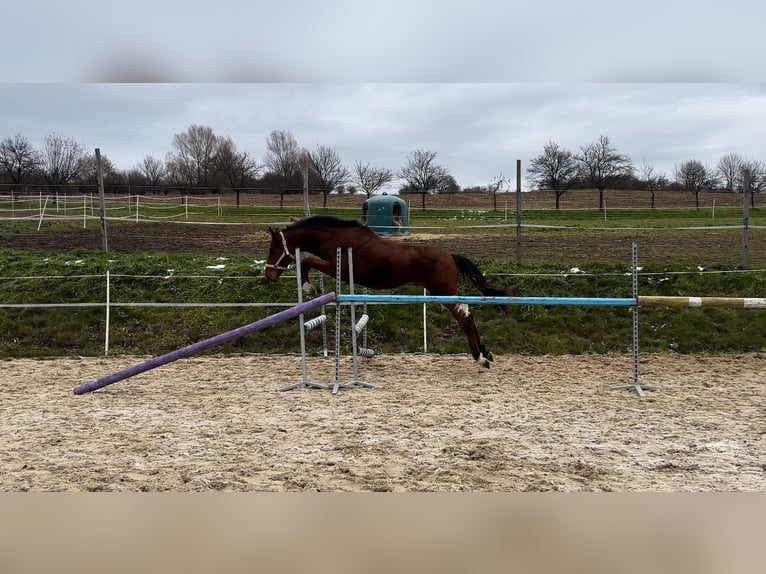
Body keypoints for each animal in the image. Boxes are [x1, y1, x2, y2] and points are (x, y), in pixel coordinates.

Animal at [268, 216, 512, 368]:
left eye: (273, 249)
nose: (268, 276)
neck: (336, 238)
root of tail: (450, 256)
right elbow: (307, 262)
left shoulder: (337, 268)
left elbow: (307, 262)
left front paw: (309, 287)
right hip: (447, 292)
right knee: (468, 314)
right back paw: (485, 353)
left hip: (444, 292)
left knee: (464, 319)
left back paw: (480, 358)